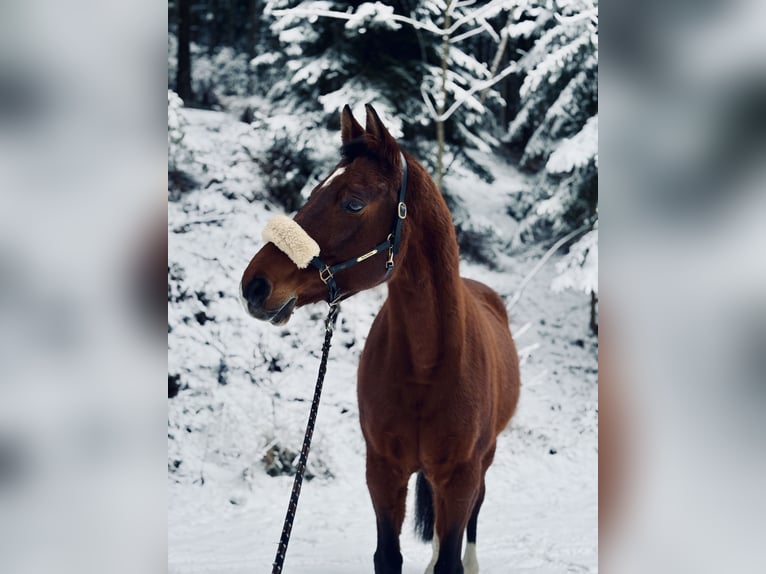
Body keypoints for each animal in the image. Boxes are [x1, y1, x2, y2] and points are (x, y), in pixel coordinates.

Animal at [240, 104, 520, 574]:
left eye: (354, 202)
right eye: (314, 191)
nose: (254, 285)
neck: (428, 365)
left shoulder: (461, 475)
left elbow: (450, 558)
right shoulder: (383, 471)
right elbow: (388, 555)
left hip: (485, 459)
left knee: (474, 513)